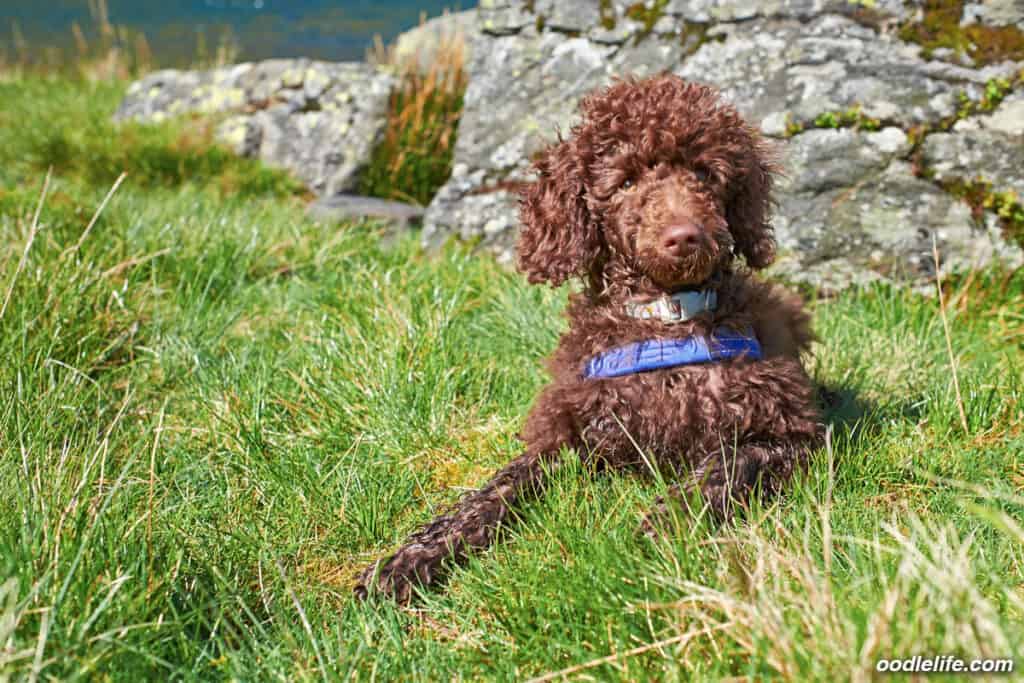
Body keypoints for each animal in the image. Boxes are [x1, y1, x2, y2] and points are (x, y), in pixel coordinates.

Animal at [356, 72, 819, 602]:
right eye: (626, 181)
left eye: (705, 174)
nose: (685, 237)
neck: (665, 322)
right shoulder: (567, 435)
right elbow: (493, 490)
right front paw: (412, 557)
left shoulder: (791, 435)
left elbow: (727, 468)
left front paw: (666, 523)